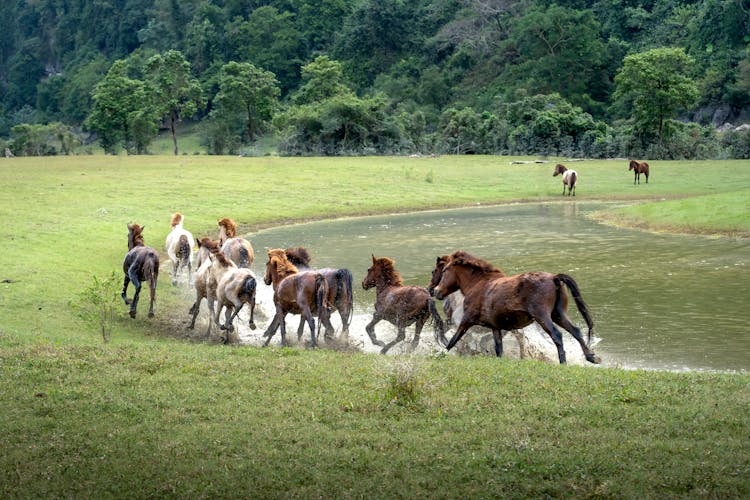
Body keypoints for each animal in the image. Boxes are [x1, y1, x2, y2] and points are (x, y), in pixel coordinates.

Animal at [434, 250, 600, 364]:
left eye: (443, 271)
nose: (436, 291)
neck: (478, 284)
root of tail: (554, 278)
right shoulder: (495, 327)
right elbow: (498, 349)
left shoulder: (466, 321)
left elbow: (453, 341)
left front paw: (439, 354)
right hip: (558, 315)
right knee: (576, 331)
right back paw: (591, 357)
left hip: (542, 316)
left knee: (557, 335)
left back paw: (563, 362)